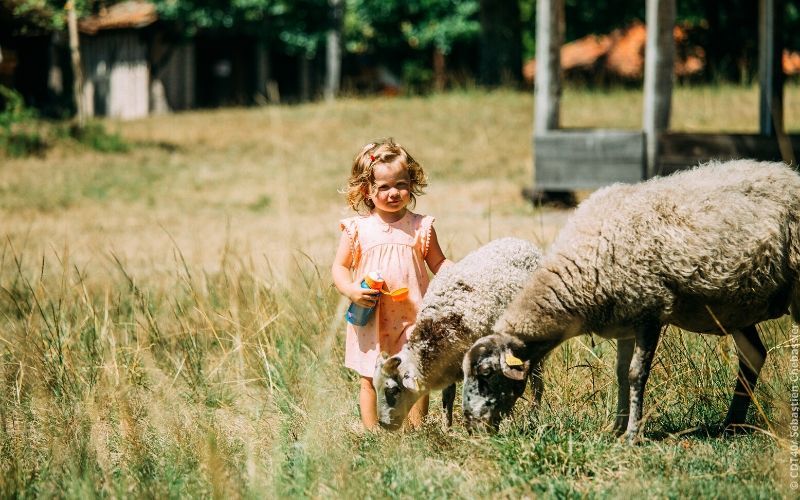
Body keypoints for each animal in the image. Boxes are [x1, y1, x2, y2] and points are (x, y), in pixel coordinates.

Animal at [376, 237, 544, 430]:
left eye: (393, 390)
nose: (383, 424)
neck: (440, 326)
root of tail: (519, 241)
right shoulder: (449, 364)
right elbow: (448, 396)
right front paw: (446, 428)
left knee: (537, 378)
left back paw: (535, 414)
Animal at [460, 158, 800, 440]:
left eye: (486, 374)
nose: (471, 425)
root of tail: (787, 172)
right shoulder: (624, 320)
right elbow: (621, 376)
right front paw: (615, 428)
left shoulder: (650, 310)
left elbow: (637, 374)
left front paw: (632, 434)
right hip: (736, 307)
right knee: (753, 355)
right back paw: (732, 425)